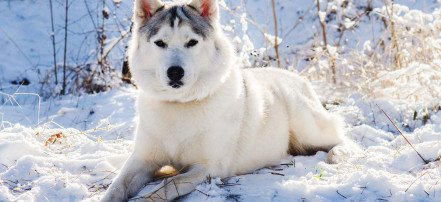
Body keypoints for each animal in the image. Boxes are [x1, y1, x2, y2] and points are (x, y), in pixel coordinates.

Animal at [102, 0, 354, 200]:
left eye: (191, 42)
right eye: (160, 43)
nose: (175, 72)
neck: (180, 104)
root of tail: (298, 78)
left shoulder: (208, 167)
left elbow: (168, 184)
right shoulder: (141, 160)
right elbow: (117, 186)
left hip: (306, 127)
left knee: (341, 136)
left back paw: (338, 153)